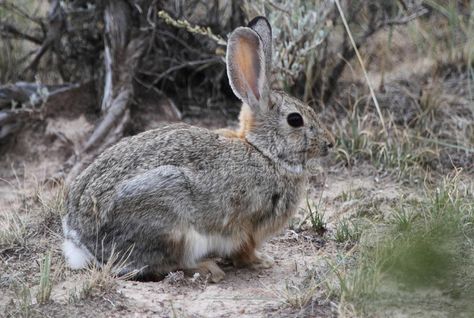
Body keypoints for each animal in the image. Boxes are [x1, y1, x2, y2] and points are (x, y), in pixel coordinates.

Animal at [63, 16, 336, 282]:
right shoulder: (246, 227)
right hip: (171, 221)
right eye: (295, 120)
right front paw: (261, 262)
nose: (330, 143)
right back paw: (208, 269)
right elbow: (244, 250)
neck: (264, 152)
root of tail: (81, 241)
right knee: (163, 264)